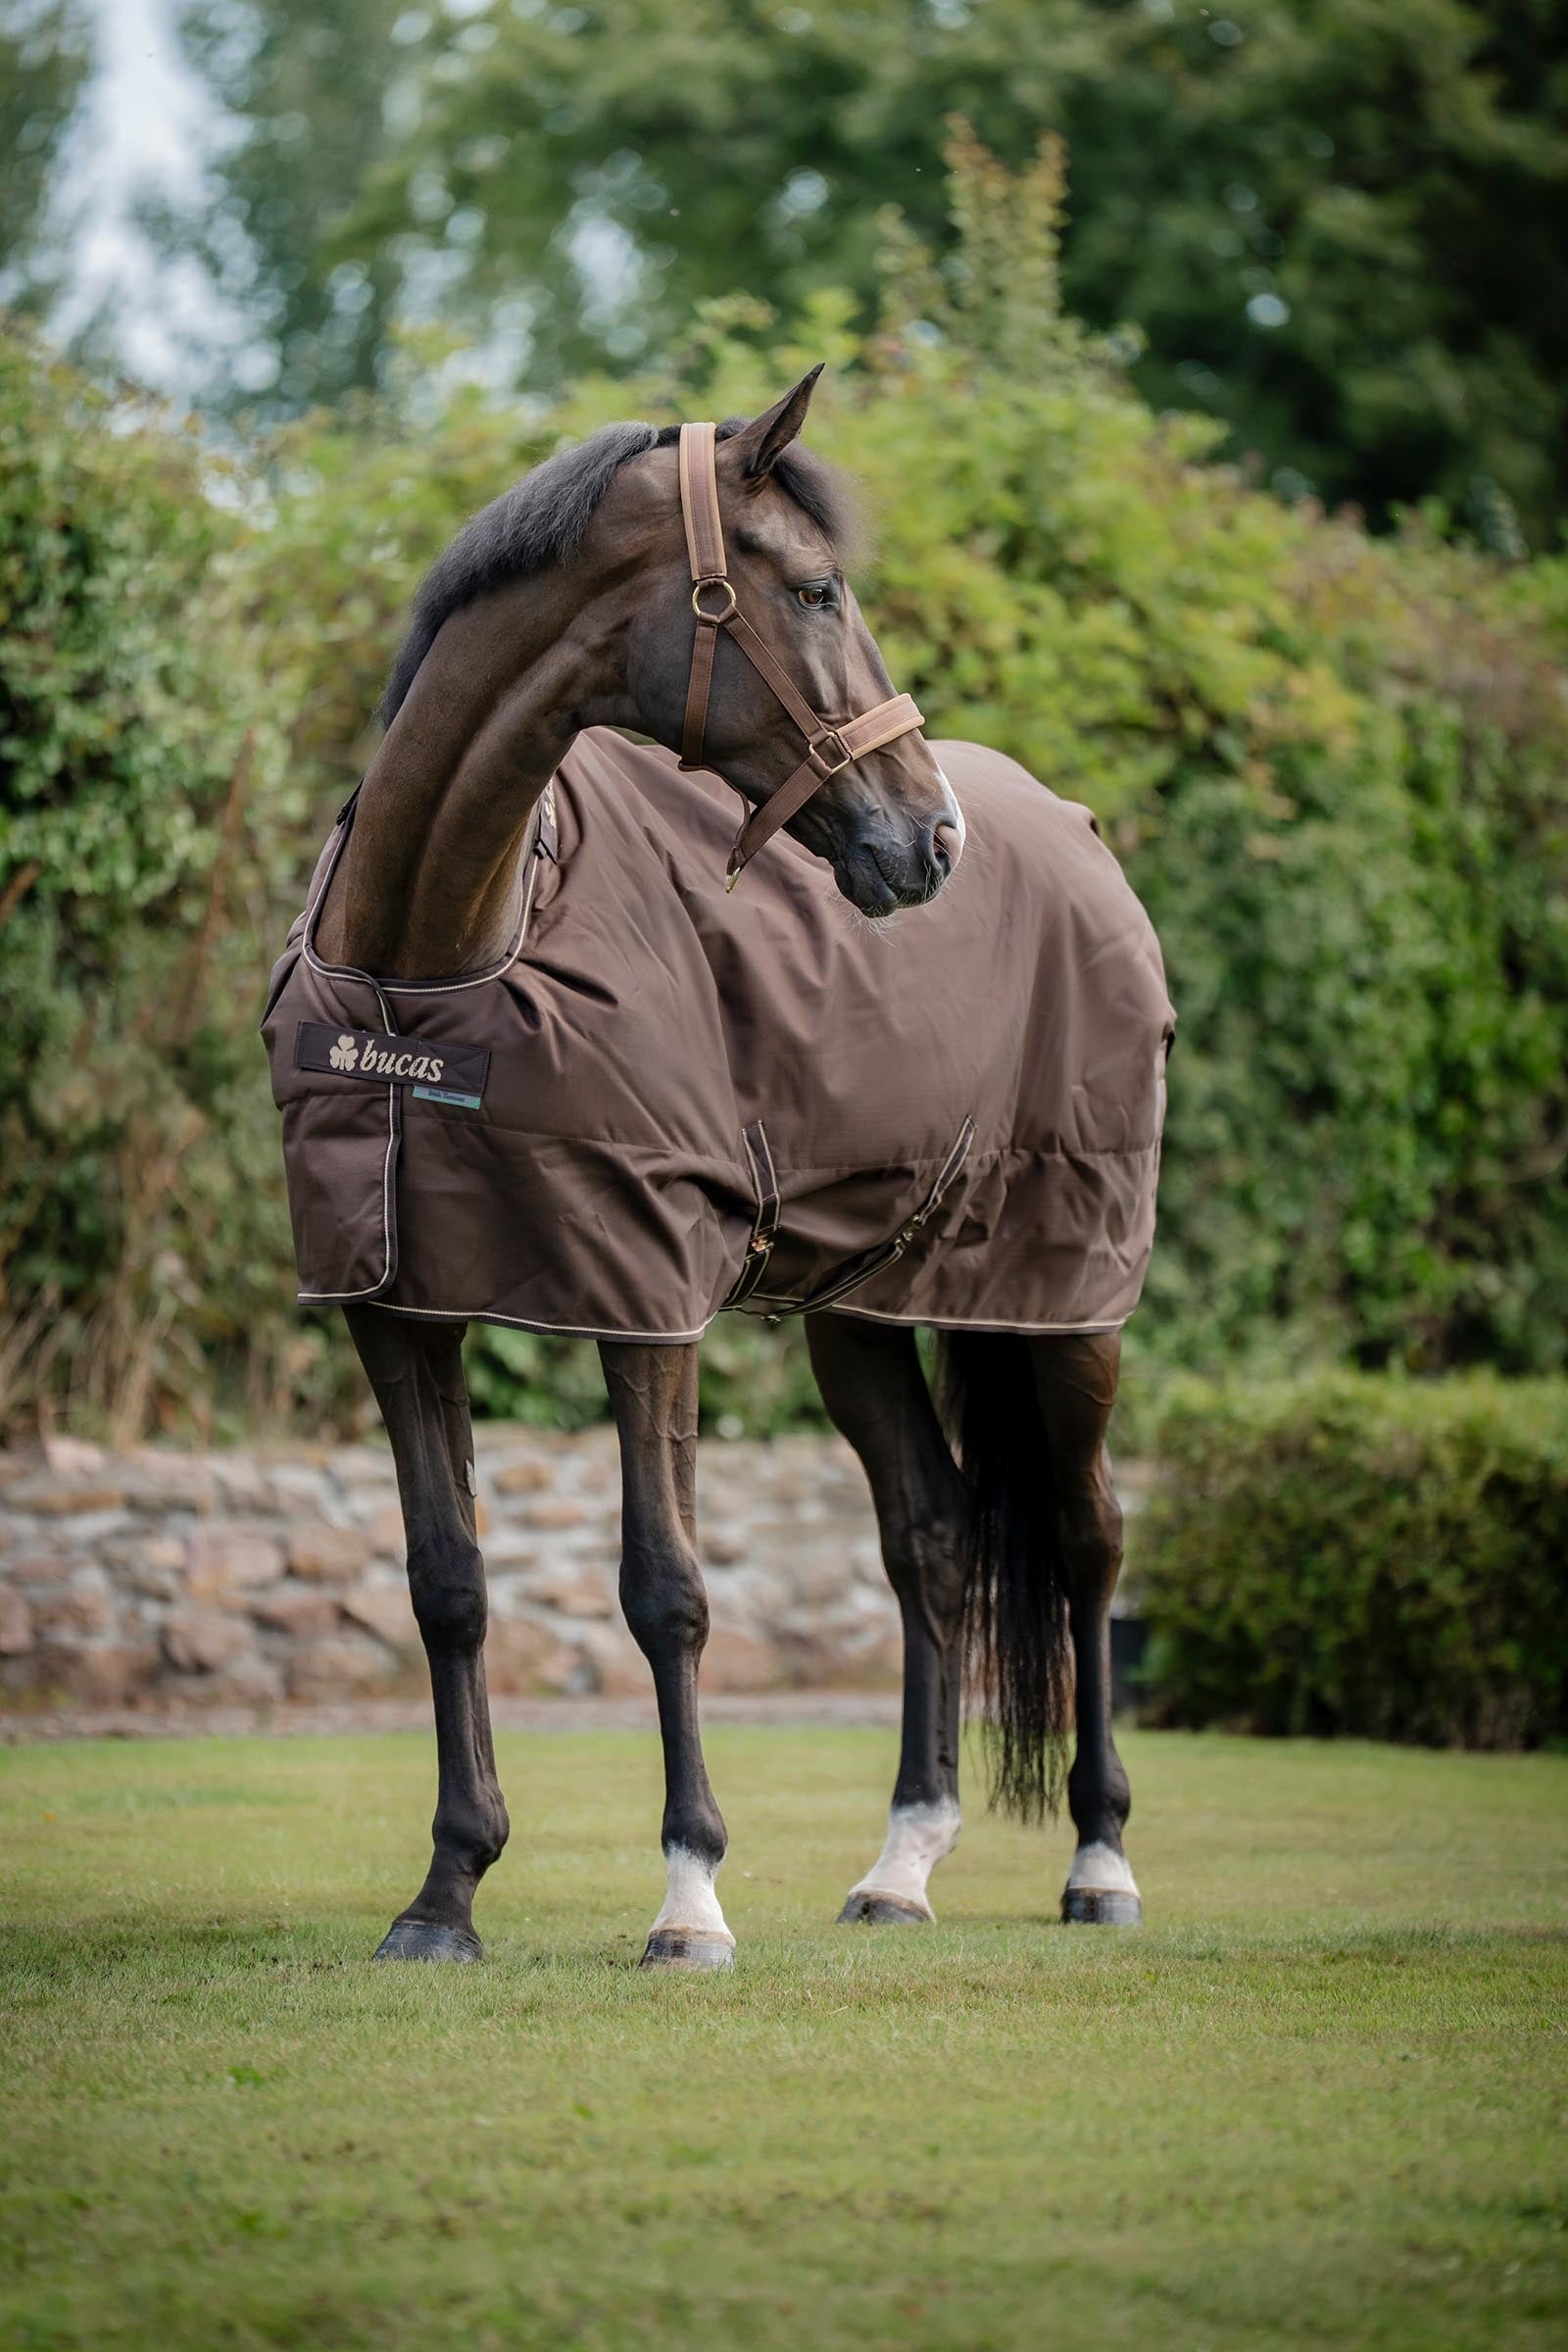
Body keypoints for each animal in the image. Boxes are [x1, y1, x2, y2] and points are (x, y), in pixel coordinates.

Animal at [265, 368, 1173, 1967]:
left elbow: (667, 1590)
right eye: (812, 588)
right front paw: (446, 1893)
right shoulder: (397, 1306)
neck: (434, 957)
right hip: (863, 1307)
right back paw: (902, 1864)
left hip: (1069, 1303)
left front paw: (688, 1895)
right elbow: (449, 1586)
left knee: (1087, 1541)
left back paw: (1099, 1861)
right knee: (932, 1538)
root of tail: (1074, 830)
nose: (929, 837)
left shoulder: (645, 1300)